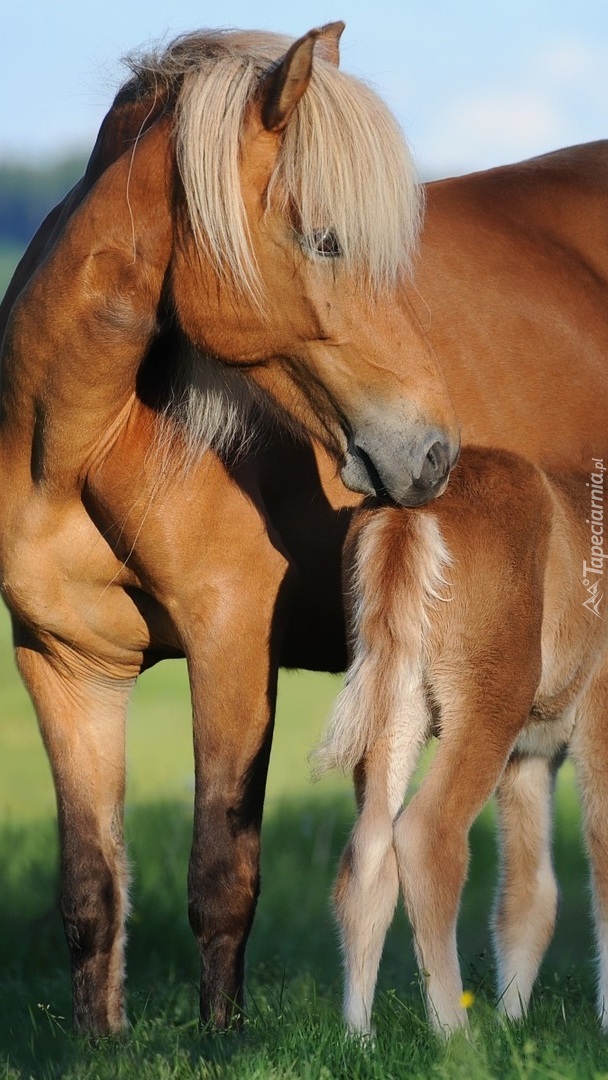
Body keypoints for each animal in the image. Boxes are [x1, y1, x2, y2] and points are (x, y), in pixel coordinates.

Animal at [0, 21, 604, 1036]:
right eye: (325, 240)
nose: (432, 452)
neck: (79, 440)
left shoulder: (232, 641)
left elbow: (222, 872)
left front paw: (221, 1044)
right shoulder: (64, 662)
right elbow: (90, 888)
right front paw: (100, 1045)